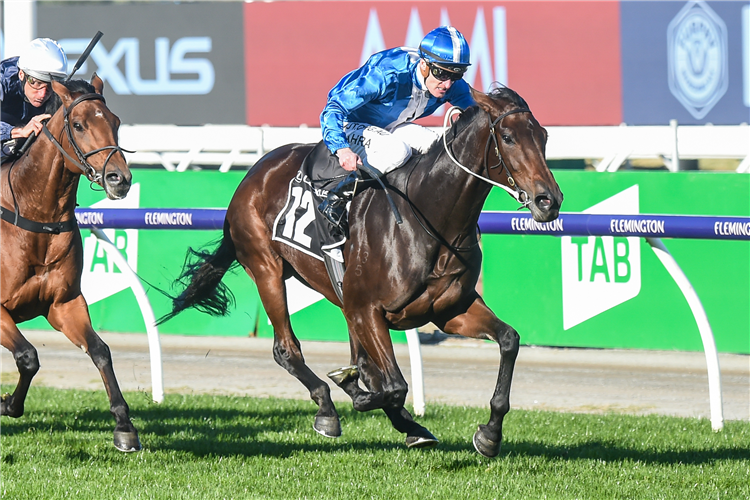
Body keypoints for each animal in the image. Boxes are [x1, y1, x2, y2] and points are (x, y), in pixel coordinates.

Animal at [0, 75, 141, 454]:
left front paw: (124, 426)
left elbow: (100, 350)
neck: (37, 217)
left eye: (116, 122)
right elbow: (28, 356)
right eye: (78, 125)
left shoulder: (64, 304)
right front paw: (7, 403)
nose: (119, 179)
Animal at [164, 87, 564, 458]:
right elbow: (393, 385)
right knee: (287, 349)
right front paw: (353, 392)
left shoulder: (449, 310)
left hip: (340, 296)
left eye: (543, 135)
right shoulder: (368, 309)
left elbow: (508, 340)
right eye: (508, 137)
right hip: (267, 268)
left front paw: (489, 434)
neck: (431, 220)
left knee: (364, 364)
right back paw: (328, 408)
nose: (549, 200)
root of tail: (255, 172)